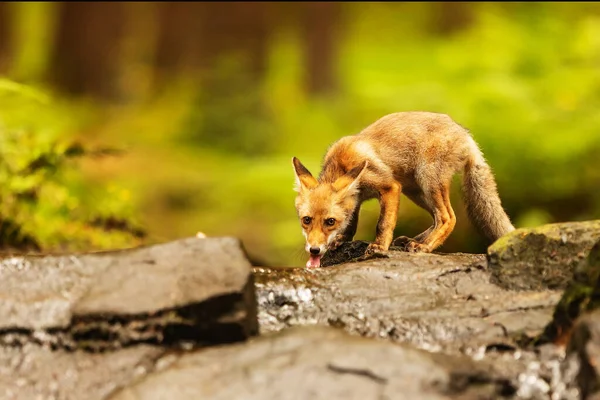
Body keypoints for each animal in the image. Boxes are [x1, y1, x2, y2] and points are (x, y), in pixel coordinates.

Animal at [292, 111, 512, 268]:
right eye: (306, 220)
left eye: (330, 221)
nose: (314, 250)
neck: (341, 165)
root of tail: (465, 133)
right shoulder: (357, 197)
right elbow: (351, 222)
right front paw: (342, 239)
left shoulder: (389, 186)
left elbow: (383, 223)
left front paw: (379, 247)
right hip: (416, 191)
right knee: (436, 217)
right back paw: (412, 240)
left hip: (428, 181)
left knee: (448, 218)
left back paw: (424, 246)